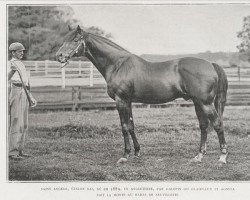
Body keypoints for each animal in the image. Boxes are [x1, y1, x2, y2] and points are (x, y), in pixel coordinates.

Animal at [56, 25, 229, 166]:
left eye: (76, 39)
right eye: (64, 39)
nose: (59, 56)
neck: (118, 64)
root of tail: (211, 64)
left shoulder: (121, 101)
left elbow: (124, 127)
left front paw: (125, 156)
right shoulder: (128, 102)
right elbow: (131, 126)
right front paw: (137, 152)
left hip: (205, 103)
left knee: (218, 124)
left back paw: (222, 158)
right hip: (197, 102)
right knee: (203, 126)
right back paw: (198, 157)